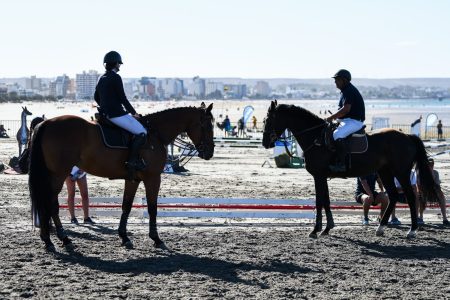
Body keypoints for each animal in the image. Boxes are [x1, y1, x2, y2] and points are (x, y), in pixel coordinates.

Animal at [29, 103, 216, 251]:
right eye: (207, 125)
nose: (209, 153)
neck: (154, 133)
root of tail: (46, 123)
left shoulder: (132, 179)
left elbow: (126, 206)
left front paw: (124, 237)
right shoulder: (153, 178)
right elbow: (152, 208)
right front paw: (156, 239)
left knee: (49, 204)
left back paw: (53, 240)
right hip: (58, 175)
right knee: (50, 205)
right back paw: (59, 240)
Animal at [262, 101, 438, 239]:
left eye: (269, 120)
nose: (265, 143)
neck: (316, 137)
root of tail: (408, 136)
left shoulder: (318, 176)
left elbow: (319, 201)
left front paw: (316, 230)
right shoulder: (322, 177)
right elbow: (325, 200)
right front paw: (327, 228)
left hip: (400, 172)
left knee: (410, 196)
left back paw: (412, 230)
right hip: (385, 172)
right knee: (393, 196)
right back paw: (381, 228)